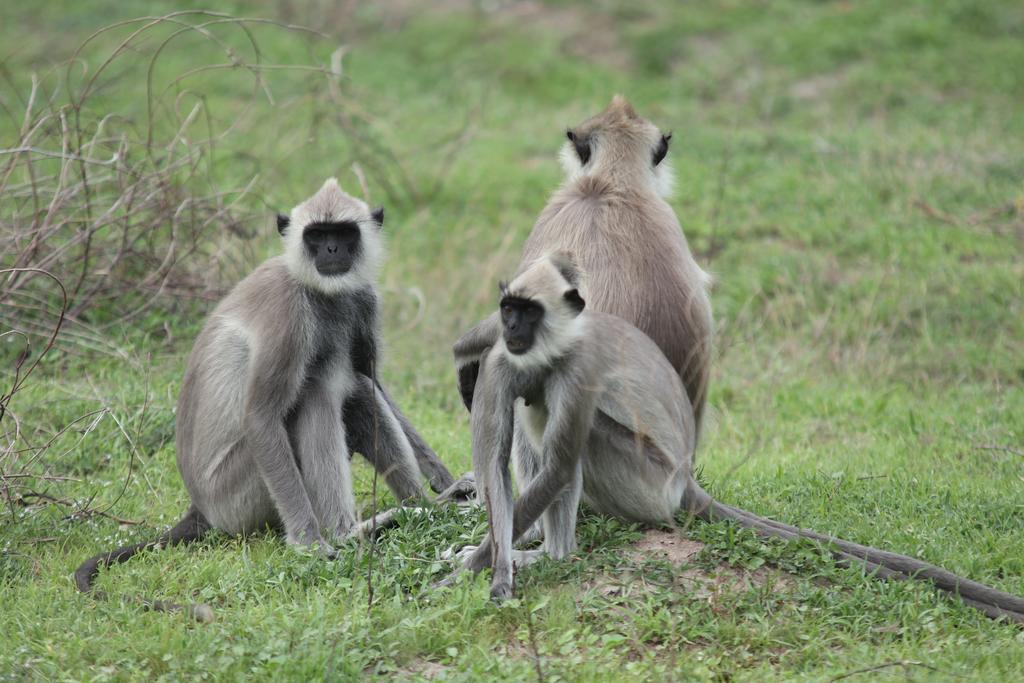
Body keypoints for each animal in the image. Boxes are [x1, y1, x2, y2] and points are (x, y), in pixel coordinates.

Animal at [78, 179, 460, 622]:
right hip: (237, 494)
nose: (332, 250)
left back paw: (423, 508)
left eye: (343, 233)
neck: (321, 293)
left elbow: (375, 381)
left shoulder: (364, 299)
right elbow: (261, 417)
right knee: (316, 392)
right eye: (317, 236)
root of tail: (200, 507)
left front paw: (443, 480)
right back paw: (350, 532)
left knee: (359, 388)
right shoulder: (287, 314)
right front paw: (309, 544)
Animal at [448, 254, 1024, 626]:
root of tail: (684, 481)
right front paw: (496, 561)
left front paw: (482, 570)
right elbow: (495, 463)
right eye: (509, 309)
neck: (552, 348)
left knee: (566, 436)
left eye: (530, 311)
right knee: (534, 412)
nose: (511, 327)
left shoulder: (578, 366)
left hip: (644, 479)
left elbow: (559, 464)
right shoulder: (506, 360)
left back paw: (555, 554)